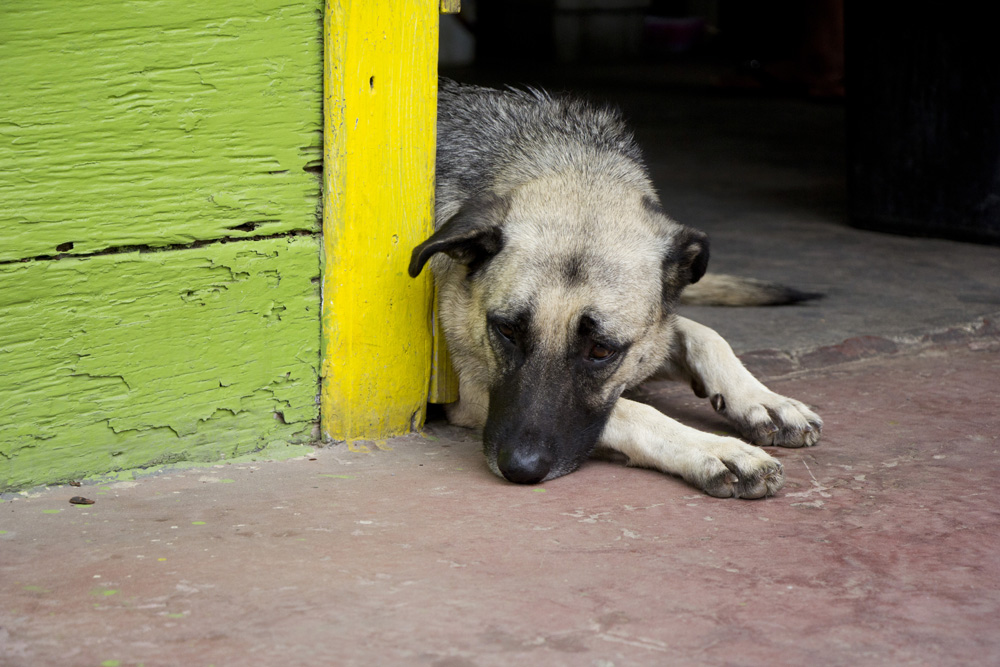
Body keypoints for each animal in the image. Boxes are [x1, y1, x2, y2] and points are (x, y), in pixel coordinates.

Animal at [406, 78, 820, 498]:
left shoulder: (651, 334)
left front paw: (761, 399)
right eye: (506, 331)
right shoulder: (474, 389)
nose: (519, 468)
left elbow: (704, 335)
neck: (572, 164)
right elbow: (632, 410)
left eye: (602, 350)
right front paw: (713, 448)